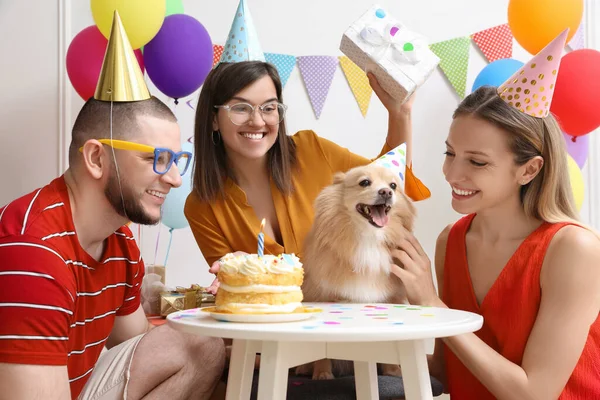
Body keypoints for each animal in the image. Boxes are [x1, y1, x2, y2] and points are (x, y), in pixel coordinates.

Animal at [298, 163, 414, 382]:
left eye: (393, 186)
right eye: (365, 182)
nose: (386, 192)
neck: (368, 238)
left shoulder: (389, 298)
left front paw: (392, 370)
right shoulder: (323, 295)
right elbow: (322, 349)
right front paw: (323, 373)